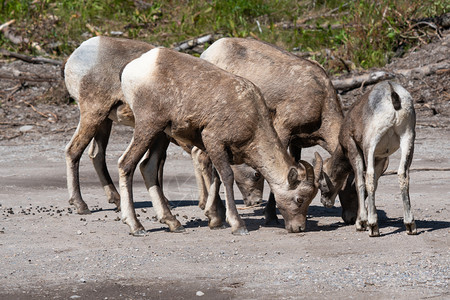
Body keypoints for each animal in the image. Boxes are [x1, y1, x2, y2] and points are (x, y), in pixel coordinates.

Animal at [119, 47, 324, 236]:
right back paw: (136, 227)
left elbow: (216, 178)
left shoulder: (218, 149)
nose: (298, 228)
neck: (251, 115)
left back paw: (174, 224)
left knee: (148, 167)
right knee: (126, 164)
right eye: (299, 199)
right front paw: (237, 225)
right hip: (148, 126)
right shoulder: (213, 141)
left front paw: (215, 220)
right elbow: (226, 176)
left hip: (161, 134)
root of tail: (134, 67)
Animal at [201, 37, 358, 224]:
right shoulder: (283, 129)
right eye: (353, 187)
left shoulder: (297, 142)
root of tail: (208, 51)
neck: (322, 106)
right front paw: (271, 216)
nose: (351, 218)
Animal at [318, 81, 416, 237]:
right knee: (403, 174)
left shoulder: (354, 148)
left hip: (370, 143)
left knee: (368, 176)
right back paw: (410, 225)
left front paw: (361, 223)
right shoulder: (380, 158)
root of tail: (393, 94)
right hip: (408, 138)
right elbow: (375, 184)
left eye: (321, 184)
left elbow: (360, 183)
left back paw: (373, 227)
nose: (325, 202)